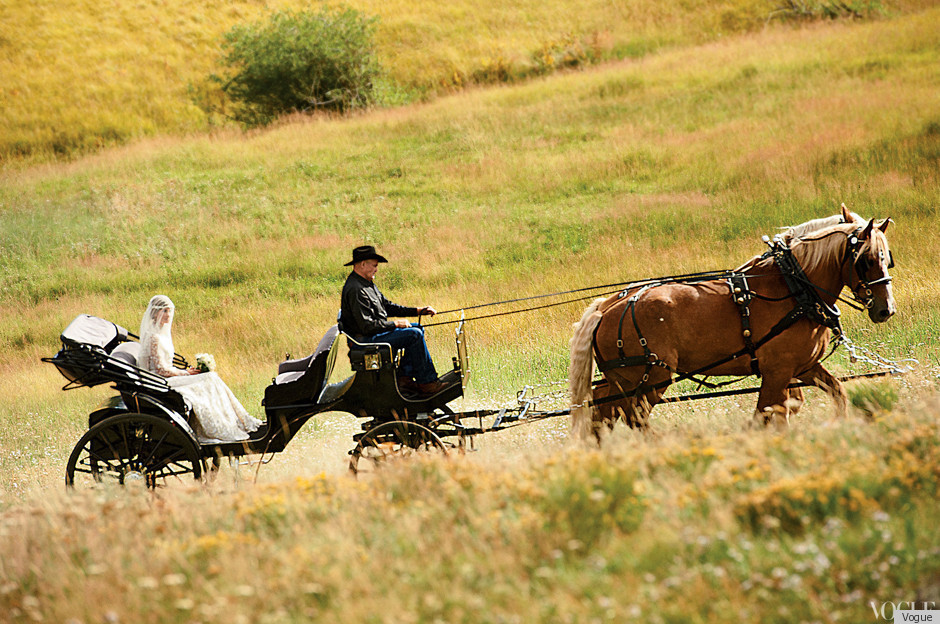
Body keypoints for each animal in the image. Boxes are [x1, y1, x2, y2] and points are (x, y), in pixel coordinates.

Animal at [564, 212, 896, 436]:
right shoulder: (778, 371)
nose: (886, 309)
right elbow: (770, 411)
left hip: (622, 379)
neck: (794, 286)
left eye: (887, 258)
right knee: (634, 416)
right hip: (652, 376)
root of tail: (607, 308)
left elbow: (831, 395)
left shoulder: (803, 366)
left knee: (602, 413)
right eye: (866, 260)